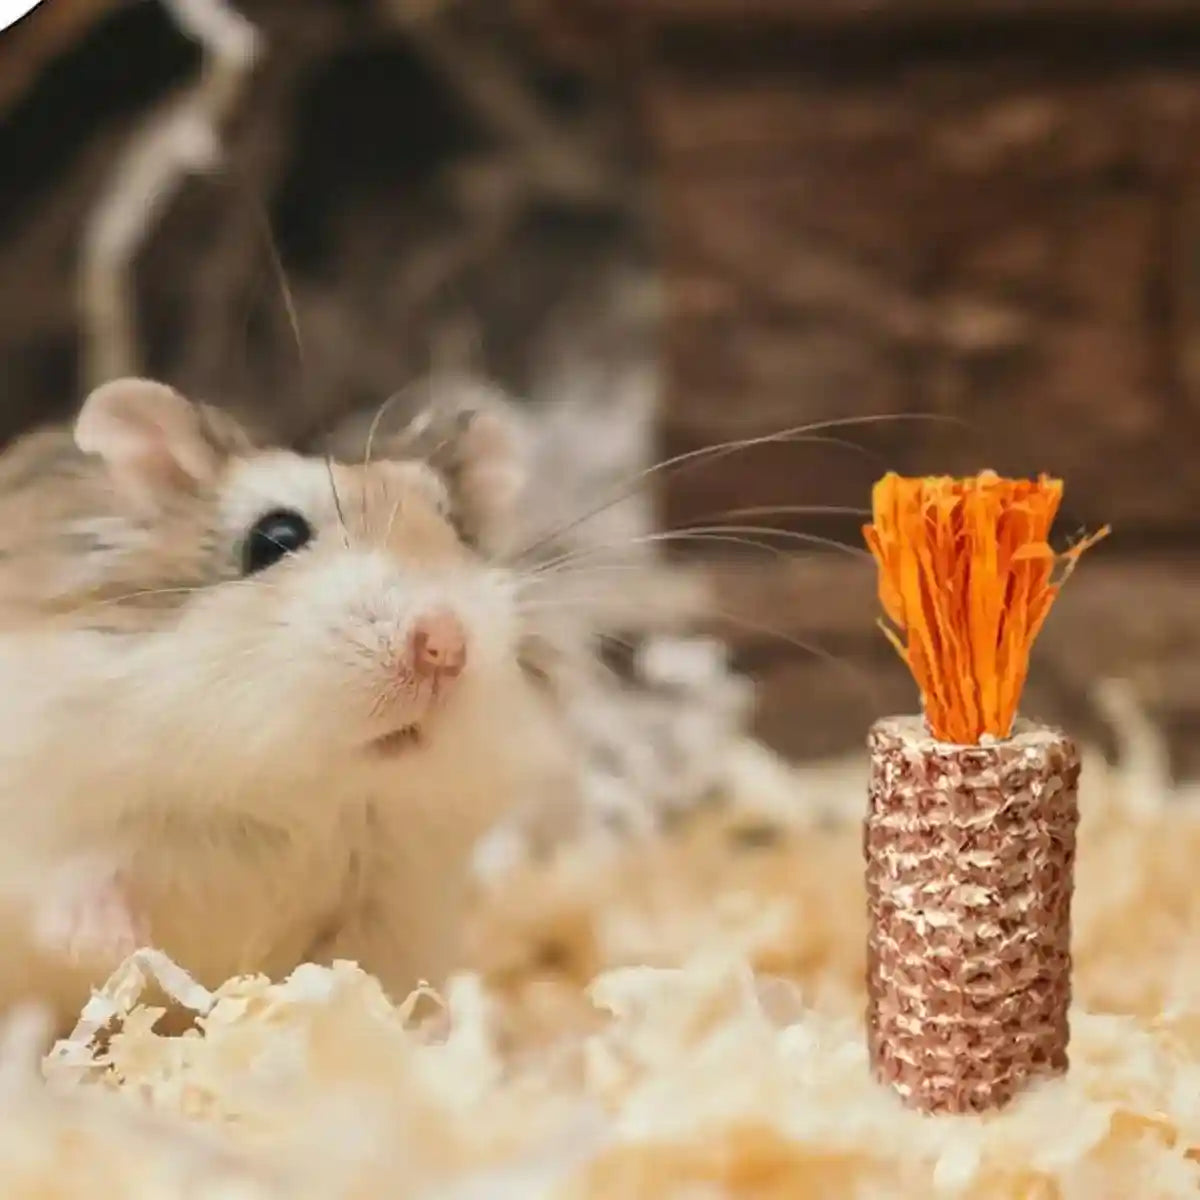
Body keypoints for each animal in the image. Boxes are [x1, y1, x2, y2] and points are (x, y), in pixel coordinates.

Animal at [0, 376, 575, 1032]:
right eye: (275, 538)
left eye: (458, 532)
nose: (444, 646)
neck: (298, 794)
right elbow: (75, 882)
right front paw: (113, 946)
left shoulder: (392, 908)